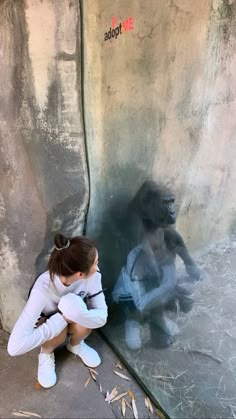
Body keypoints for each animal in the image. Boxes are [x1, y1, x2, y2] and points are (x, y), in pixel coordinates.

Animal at [112, 180, 201, 352]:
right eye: (165, 202)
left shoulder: (166, 224)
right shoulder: (134, 223)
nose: (173, 211)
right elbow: (147, 271)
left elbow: (175, 240)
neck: (146, 216)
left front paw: (192, 268)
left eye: (172, 201)